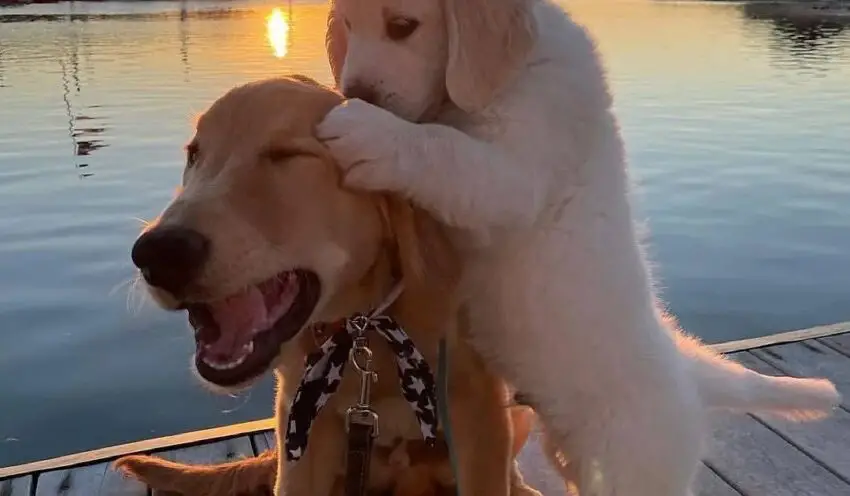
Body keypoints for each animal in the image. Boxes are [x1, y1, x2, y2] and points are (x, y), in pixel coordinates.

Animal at [121, 76, 536, 496]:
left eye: (286, 154)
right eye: (194, 155)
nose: (157, 253)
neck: (366, 329)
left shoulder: (479, 412)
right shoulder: (302, 423)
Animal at [314, 0, 840, 496]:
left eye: (402, 26)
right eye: (348, 25)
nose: (354, 93)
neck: (514, 72)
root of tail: (688, 372)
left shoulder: (514, 177)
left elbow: (441, 148)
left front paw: (366, 129)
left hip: (637, 468)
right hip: (570, 454)